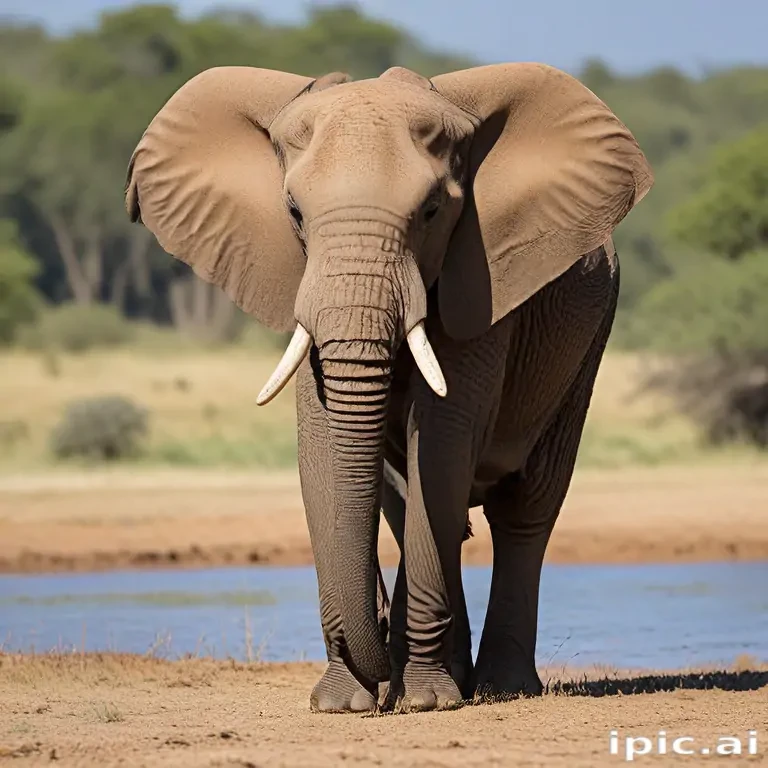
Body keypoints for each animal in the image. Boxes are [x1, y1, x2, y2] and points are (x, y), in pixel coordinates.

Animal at [125, 63, 652, 713]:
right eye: (293, 211)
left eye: (431, 211)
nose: (369, 642)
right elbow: (326, 449)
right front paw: (342, 703)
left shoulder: (478, 278)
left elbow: (445, 439)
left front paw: (424, 701)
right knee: (411, 505)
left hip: (590, 337)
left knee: (525, 508)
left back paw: (497, 688)